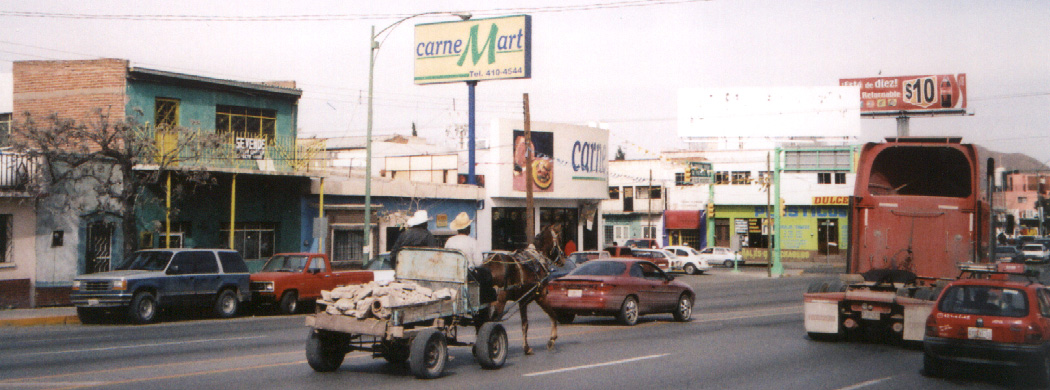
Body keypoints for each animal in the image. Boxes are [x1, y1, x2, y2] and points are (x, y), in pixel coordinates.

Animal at [480, 222, 567, 355]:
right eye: (560, 240)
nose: (563, 259)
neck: (538, 259)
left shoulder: (523, 300)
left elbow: (524, 324)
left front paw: (526, 348)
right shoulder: (540, 296)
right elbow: (553, 315)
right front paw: (551, 340)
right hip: (500, 301)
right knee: (492, 323)